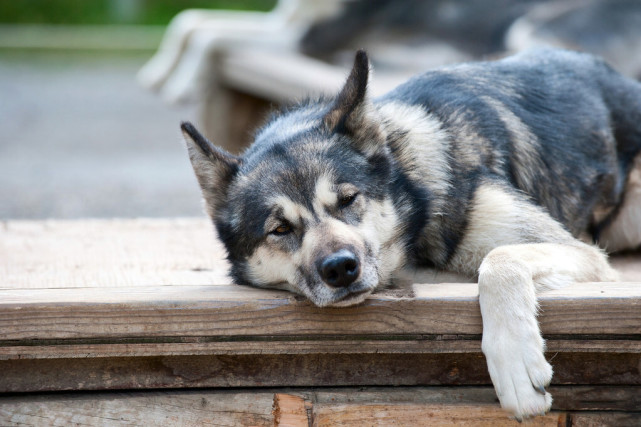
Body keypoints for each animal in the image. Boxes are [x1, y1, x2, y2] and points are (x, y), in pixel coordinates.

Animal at [179, 47, 640, 422]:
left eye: (348, 199)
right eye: (280, 229)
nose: (340, 269)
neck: (414, 196)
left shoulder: (581, 253)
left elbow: (499, 260)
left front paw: (515, 364)